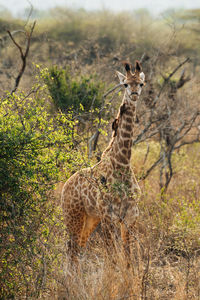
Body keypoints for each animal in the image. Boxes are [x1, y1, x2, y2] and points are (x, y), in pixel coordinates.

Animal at [61, 59, 145, 262]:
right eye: (125, 84)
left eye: (141, 83)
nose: (134, 94)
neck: (122, 164)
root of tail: (65, 185)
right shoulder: (109, 217)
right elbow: (113, 259)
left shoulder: (130, 217)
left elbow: (128, 258)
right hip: (74, 216)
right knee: (71, 250)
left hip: (91, 218)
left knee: (78, 248)